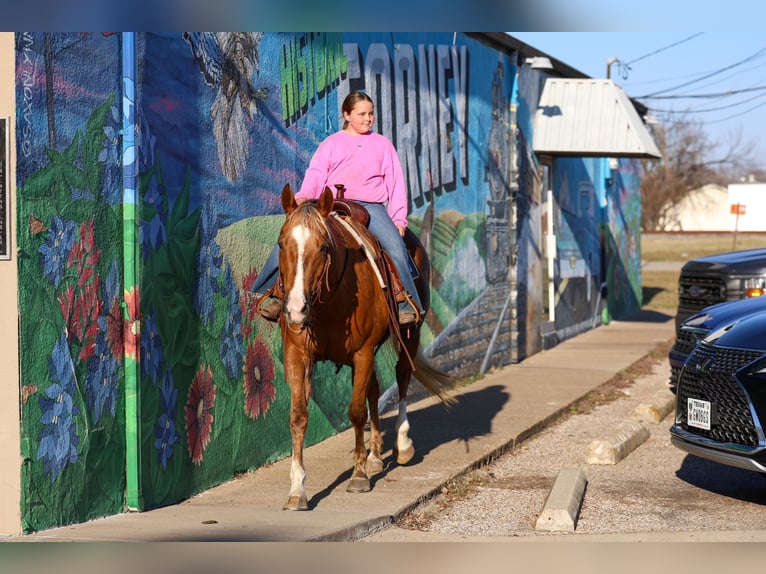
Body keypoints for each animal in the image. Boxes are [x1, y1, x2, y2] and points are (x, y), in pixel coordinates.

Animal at [272, 183, 455, 511]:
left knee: (402, 377)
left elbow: (356, 412)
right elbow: (298, 416)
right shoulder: (297, 355)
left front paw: (357, 476)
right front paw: (297, 490)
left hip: (409, 336)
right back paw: (375, 456)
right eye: (281, 244)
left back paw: (402, 445)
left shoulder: (362, 353)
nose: (294, 309)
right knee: (374, 387)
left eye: (323, 247)